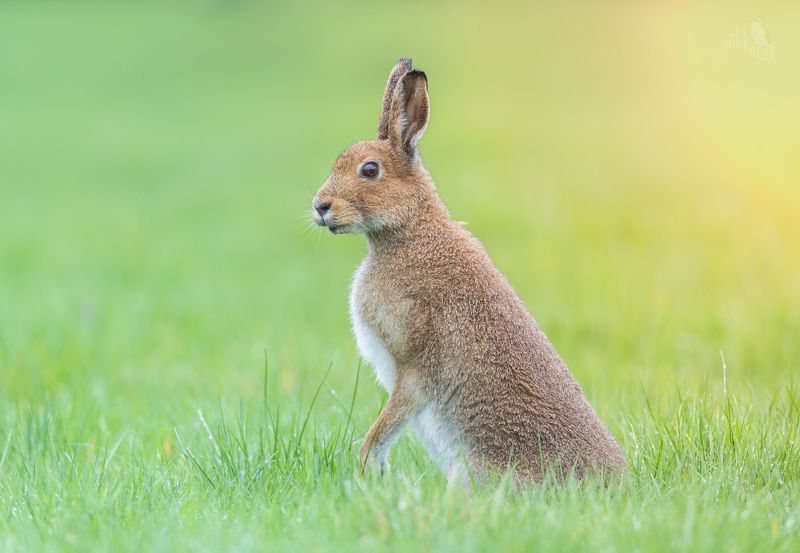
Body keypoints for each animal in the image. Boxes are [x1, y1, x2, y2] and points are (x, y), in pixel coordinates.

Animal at [311, 58, 626, 484]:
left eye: (370, 170)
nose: (320, 206)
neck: (410, 232)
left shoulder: (414, 366)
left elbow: (383, 428)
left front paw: (368, 473)